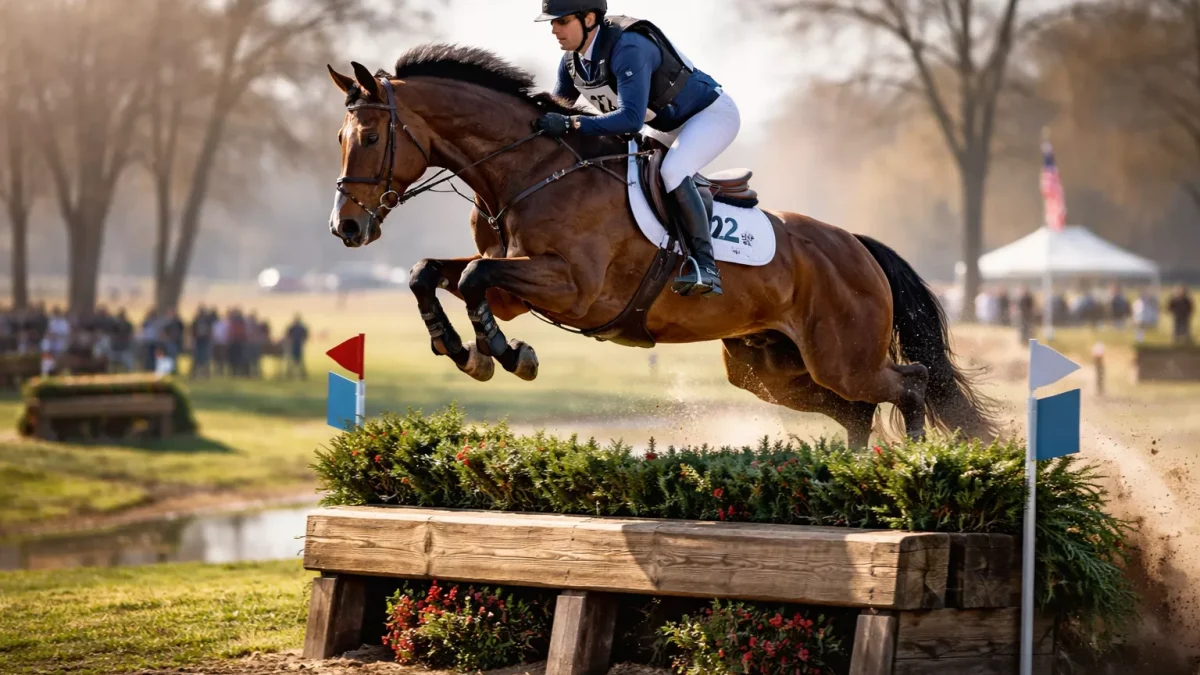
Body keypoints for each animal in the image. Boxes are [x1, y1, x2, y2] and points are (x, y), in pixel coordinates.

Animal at [326, 44, 1000, 449]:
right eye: (340, 137)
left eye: (370, 136)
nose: (346, 229)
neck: (529, 170)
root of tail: (856, 247)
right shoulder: (514, 280)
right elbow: (430, 273)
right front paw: (462, 349)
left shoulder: (573, 289)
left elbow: (471, 281)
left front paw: (508, 355)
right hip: (768, 369)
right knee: (858, 411)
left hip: (842, 357)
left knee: (910, 384)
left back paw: (910, 469)